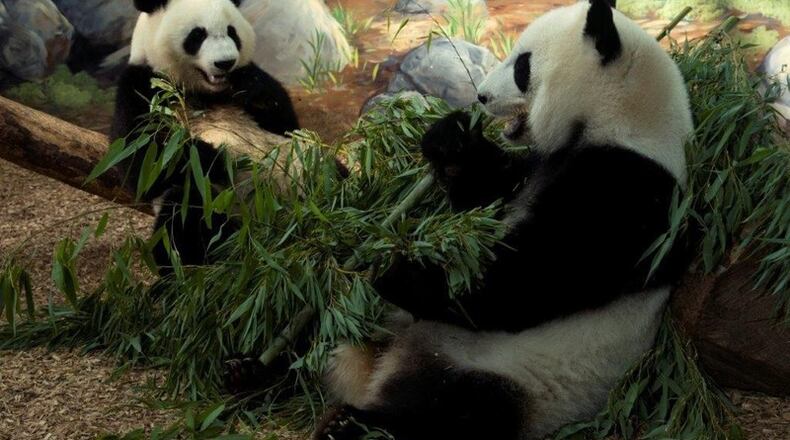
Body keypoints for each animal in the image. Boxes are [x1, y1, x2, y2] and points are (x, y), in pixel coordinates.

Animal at [111, 0, 299, 270]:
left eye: (232, 32)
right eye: (197, 35)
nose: (226, 62)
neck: (205, 92)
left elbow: (287, 123)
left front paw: (253, 89)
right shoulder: (141, 87)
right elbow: (143, 163)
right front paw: (215, 158)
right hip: (218, 209)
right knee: (185, 217)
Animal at [314, 1, 693, 439]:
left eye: (522, 66)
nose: (481, 96)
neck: (623, 119)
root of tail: (387, 365)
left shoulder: (624, 191)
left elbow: (522, 283)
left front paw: (398, 270)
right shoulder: (536, 167)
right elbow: (486, 196)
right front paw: (451, 137)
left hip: (510, 378)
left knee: (447, 414)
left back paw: (349, 424)